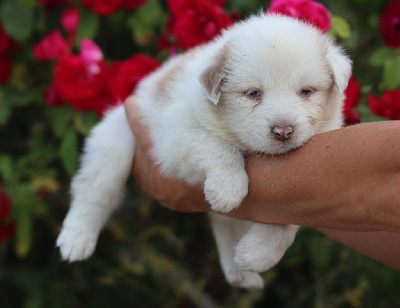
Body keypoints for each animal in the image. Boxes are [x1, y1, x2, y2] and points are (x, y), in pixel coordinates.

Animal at [56, 13, 350, 288]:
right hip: (115, 136)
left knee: (226, 227)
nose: (283, 131)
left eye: (306, 91)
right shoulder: (174, 135)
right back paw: (76, 237)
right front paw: (228, 188)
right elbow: (216, 145)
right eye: (253, 93)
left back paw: (240, 271)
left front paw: (256, 254)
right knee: (95, 187)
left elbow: (289, 220)